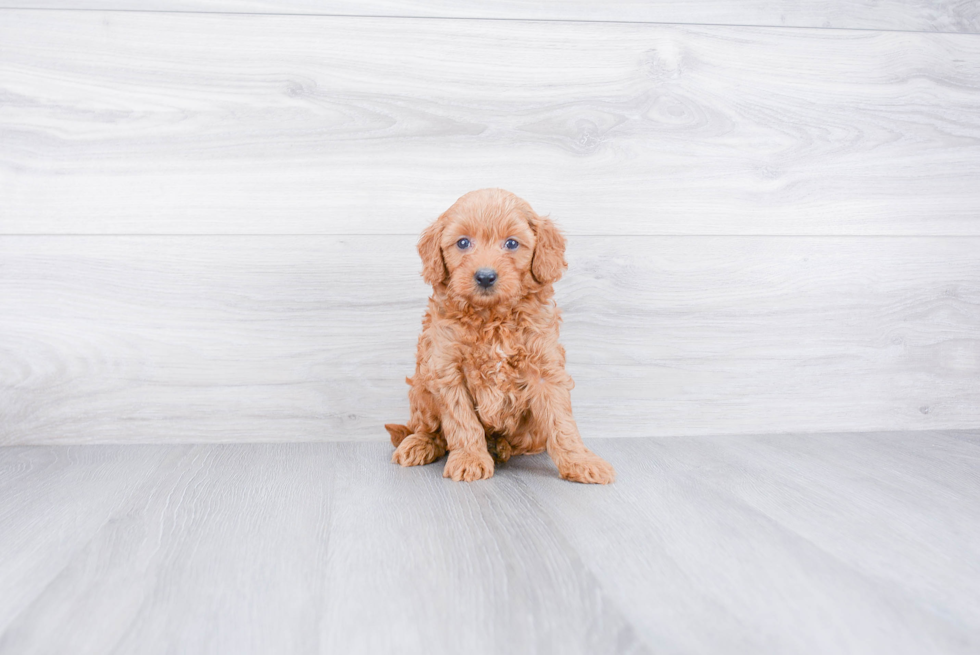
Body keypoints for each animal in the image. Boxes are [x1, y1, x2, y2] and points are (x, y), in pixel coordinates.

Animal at [382, 187, 612, 484]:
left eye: (512, 244)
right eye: (463, 243)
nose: (485, 277)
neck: (491, 316)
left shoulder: (545, 369)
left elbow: (561, 423)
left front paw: (581, 461)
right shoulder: (446, 369)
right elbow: (462, 421)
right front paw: (469, 458)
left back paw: (499, 447)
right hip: (421, 386)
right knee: (427, 429)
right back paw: (419, 444)